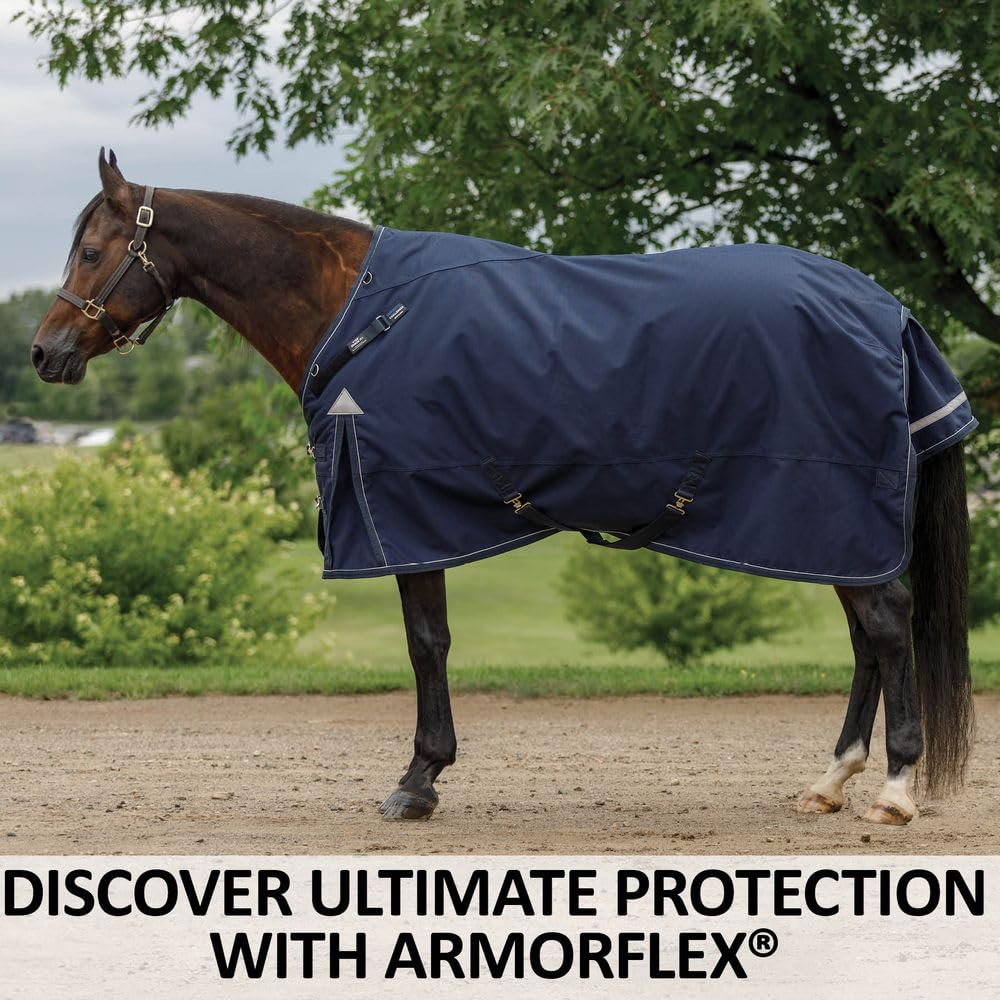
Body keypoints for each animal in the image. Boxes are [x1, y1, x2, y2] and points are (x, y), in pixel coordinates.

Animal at [31, 149, 975, 826]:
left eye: (92, 250)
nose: (44, 351)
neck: (362, 316)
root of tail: (884, 308)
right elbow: (434, 643)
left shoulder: (405, 513)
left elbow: (426, 644)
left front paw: (418, 780)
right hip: (823, 530)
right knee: (867, 637)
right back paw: (832, 781)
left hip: (829, 512)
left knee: (886, 626)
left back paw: (893, 789)